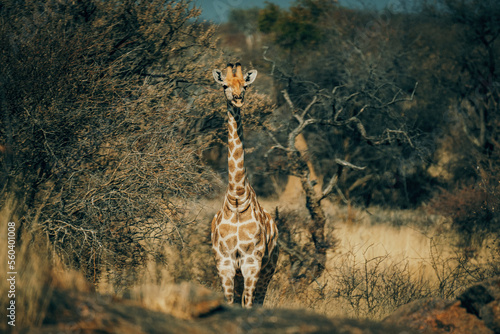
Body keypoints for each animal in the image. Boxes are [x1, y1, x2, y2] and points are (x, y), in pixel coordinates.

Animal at [210, 62, 280, 308]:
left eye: (245, 86)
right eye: (224, 85)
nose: (238, 98)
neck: (238, 196)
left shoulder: (252, 263)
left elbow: (247, 305)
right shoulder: (225, 263)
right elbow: (231, 304)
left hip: (269, 269)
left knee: (258, 301)